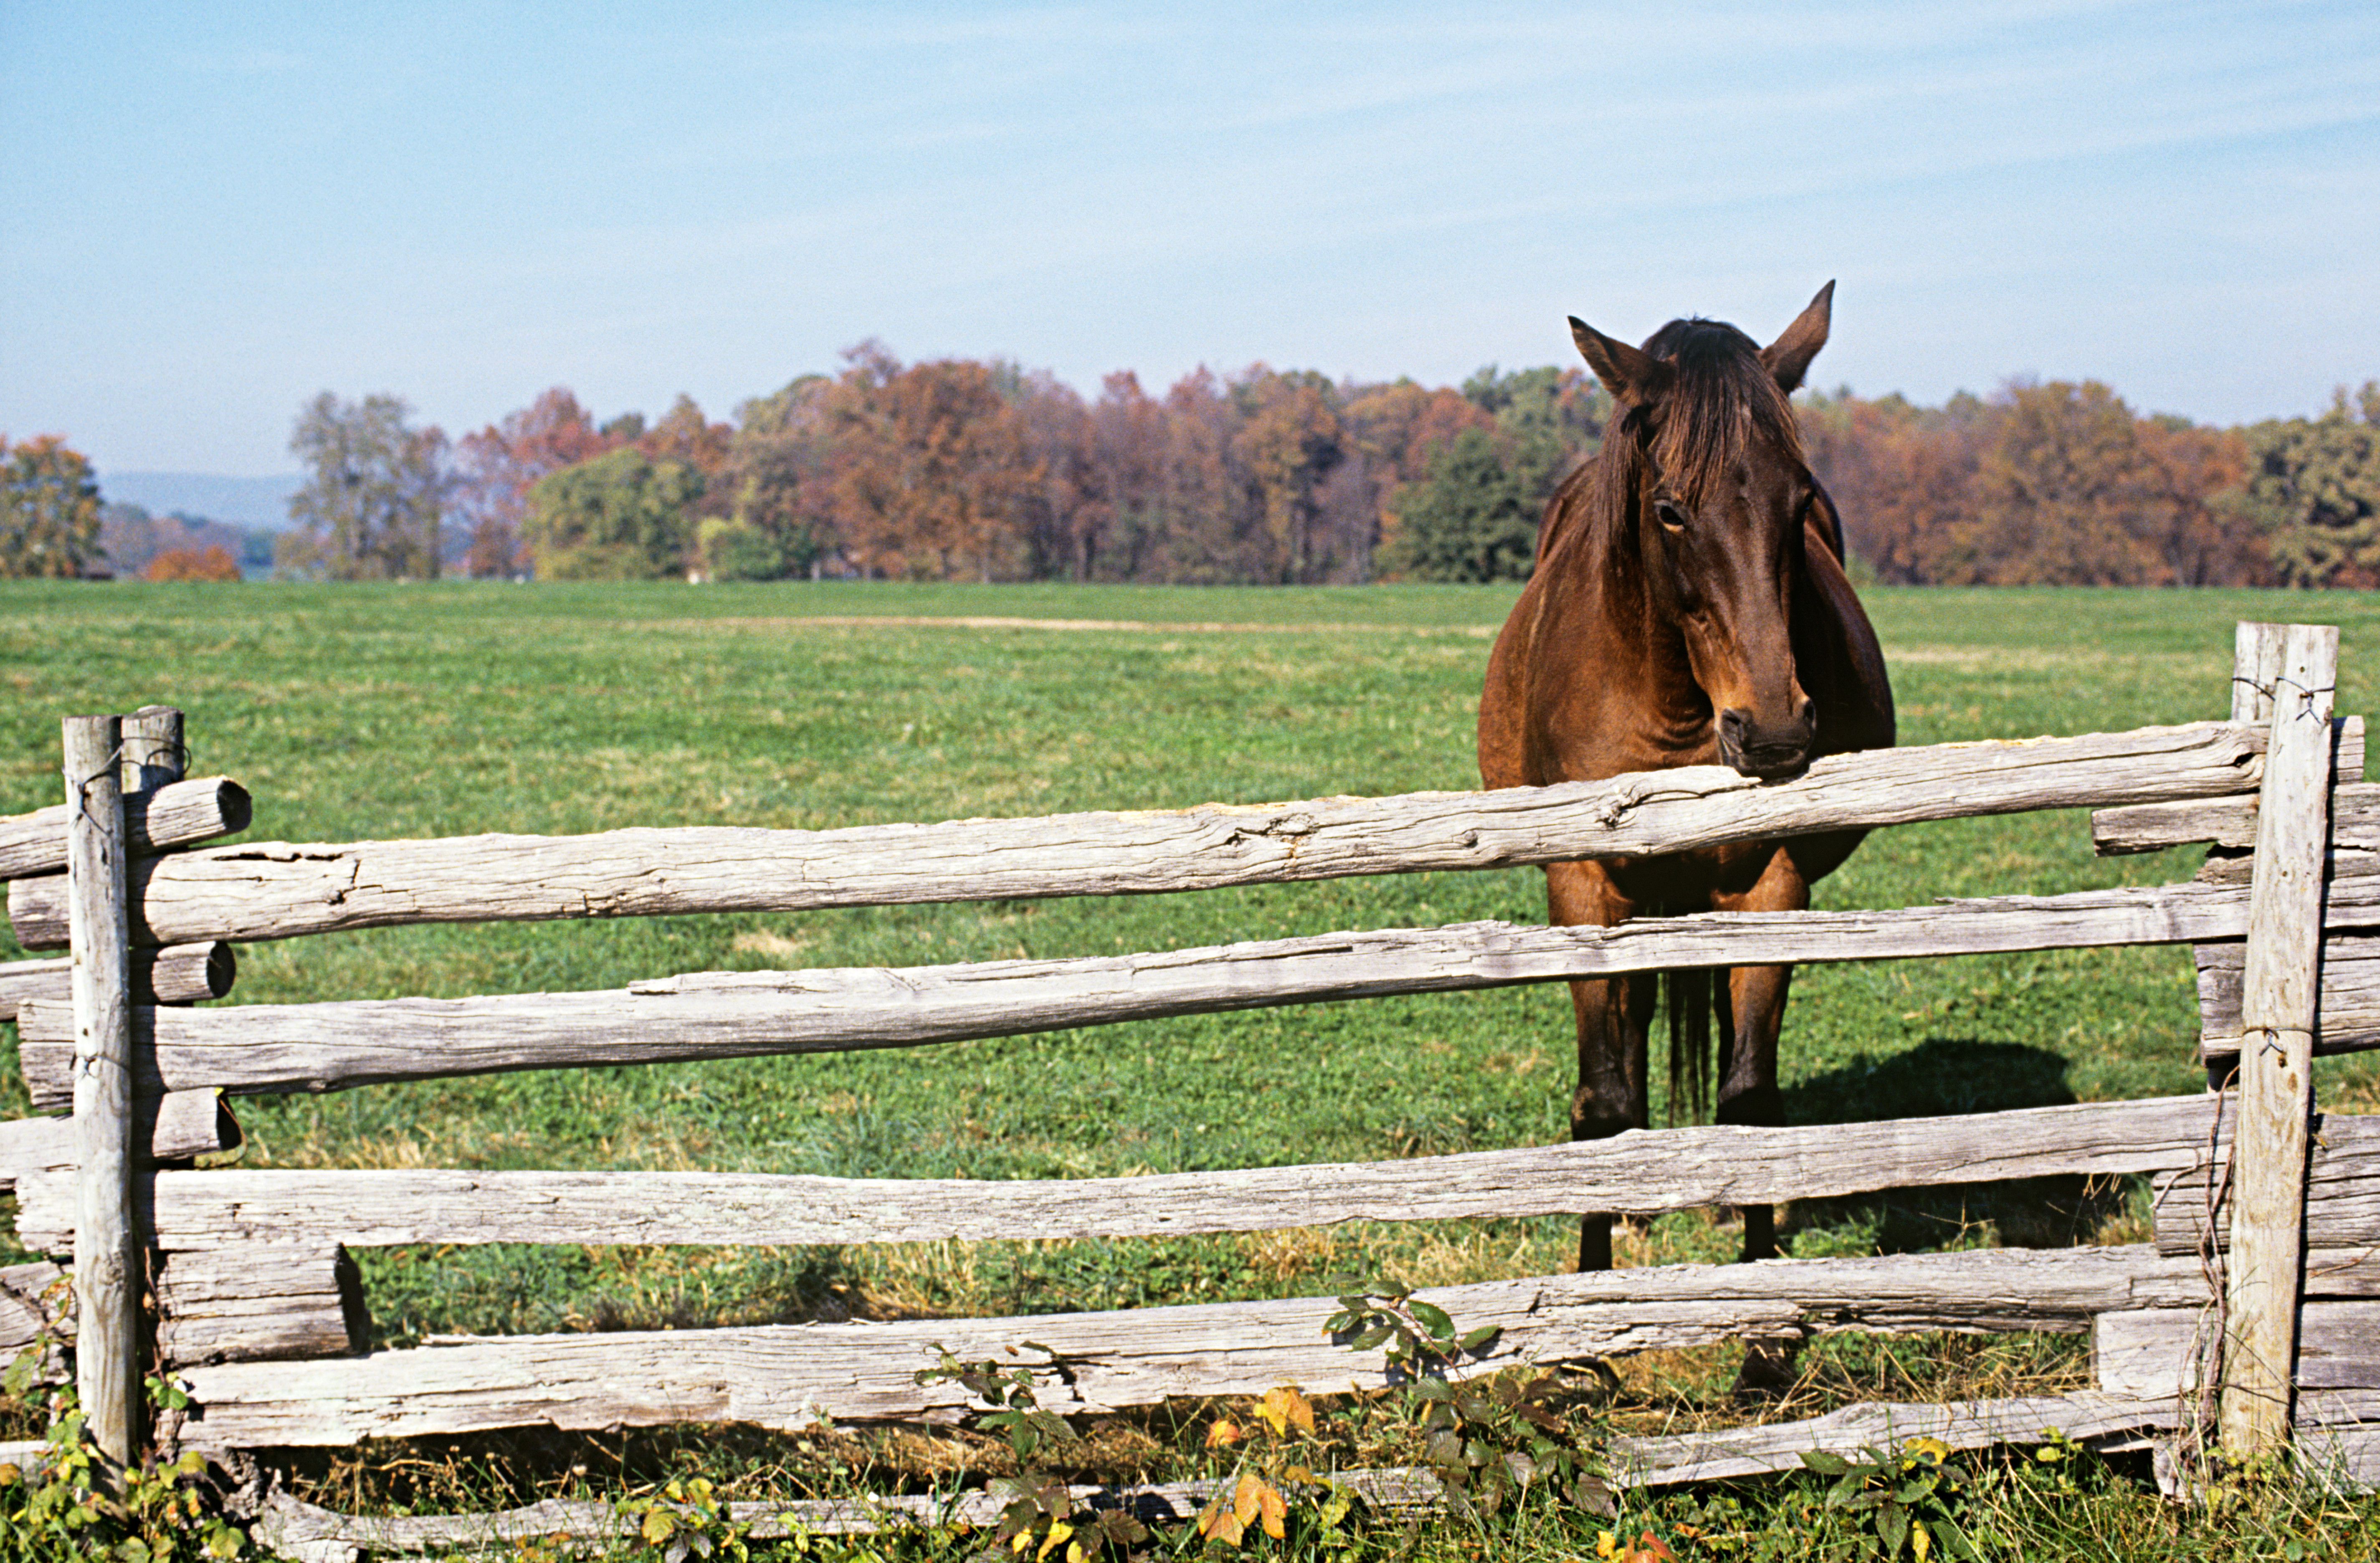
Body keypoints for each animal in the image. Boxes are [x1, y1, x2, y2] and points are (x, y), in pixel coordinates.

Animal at [1466, 286, 1894, 1275]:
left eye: (1799, 499)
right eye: (1668, 510)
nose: (1773, 728)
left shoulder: (1771, 883)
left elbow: (1750, 1096)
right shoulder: (1583, 887)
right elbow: (1603, 1098)